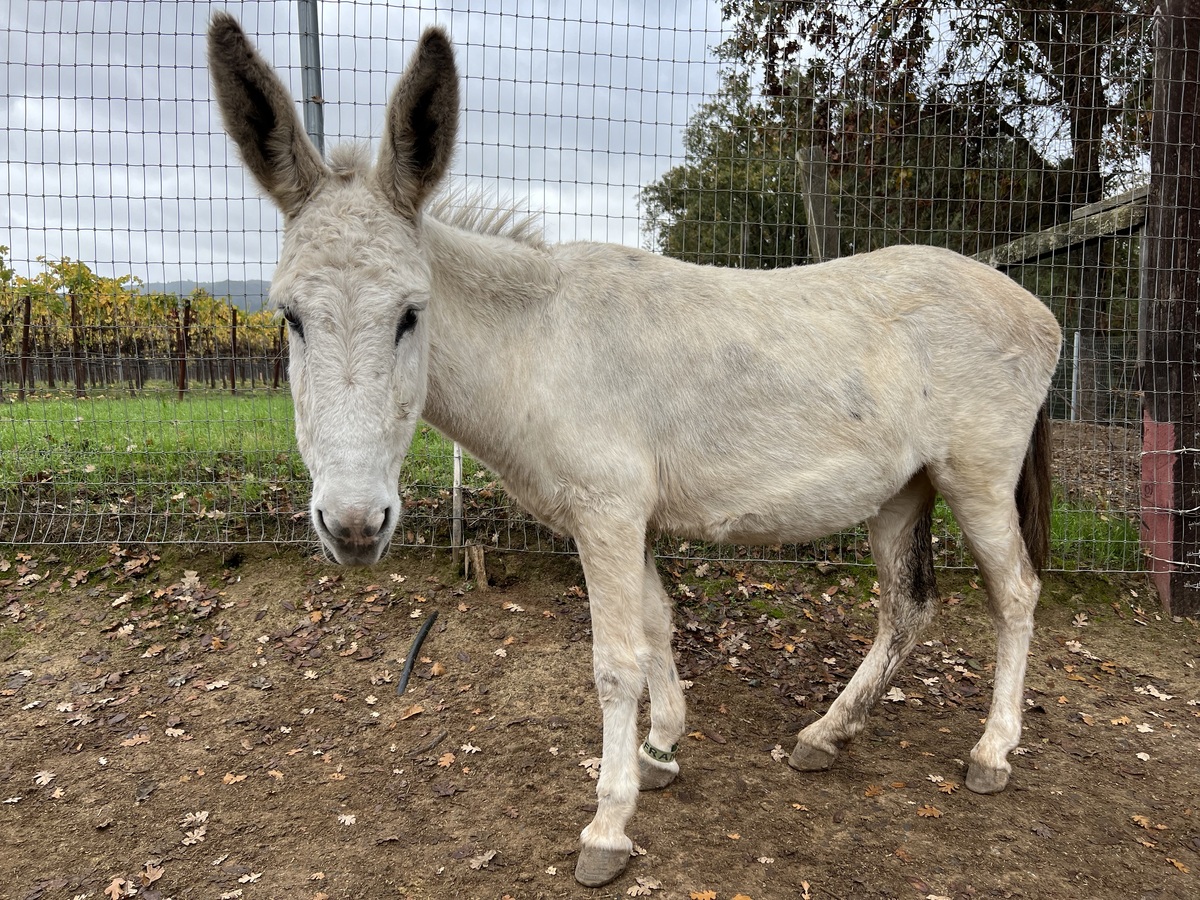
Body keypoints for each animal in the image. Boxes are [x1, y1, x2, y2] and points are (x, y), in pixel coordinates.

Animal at [208, 13, 1063, 887]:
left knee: (1017, 595)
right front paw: (662, 749)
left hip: (976, 480)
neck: (539, 345)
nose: (353, 526)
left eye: (411, 314)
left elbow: (616, 660)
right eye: (289, 318)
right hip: (901, 491)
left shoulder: (609, 515)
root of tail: (1035, 305)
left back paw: (992, 752)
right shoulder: (631, 520)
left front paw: (609, 824)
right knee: (906, 609)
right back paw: (827, 734)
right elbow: (657, 626)